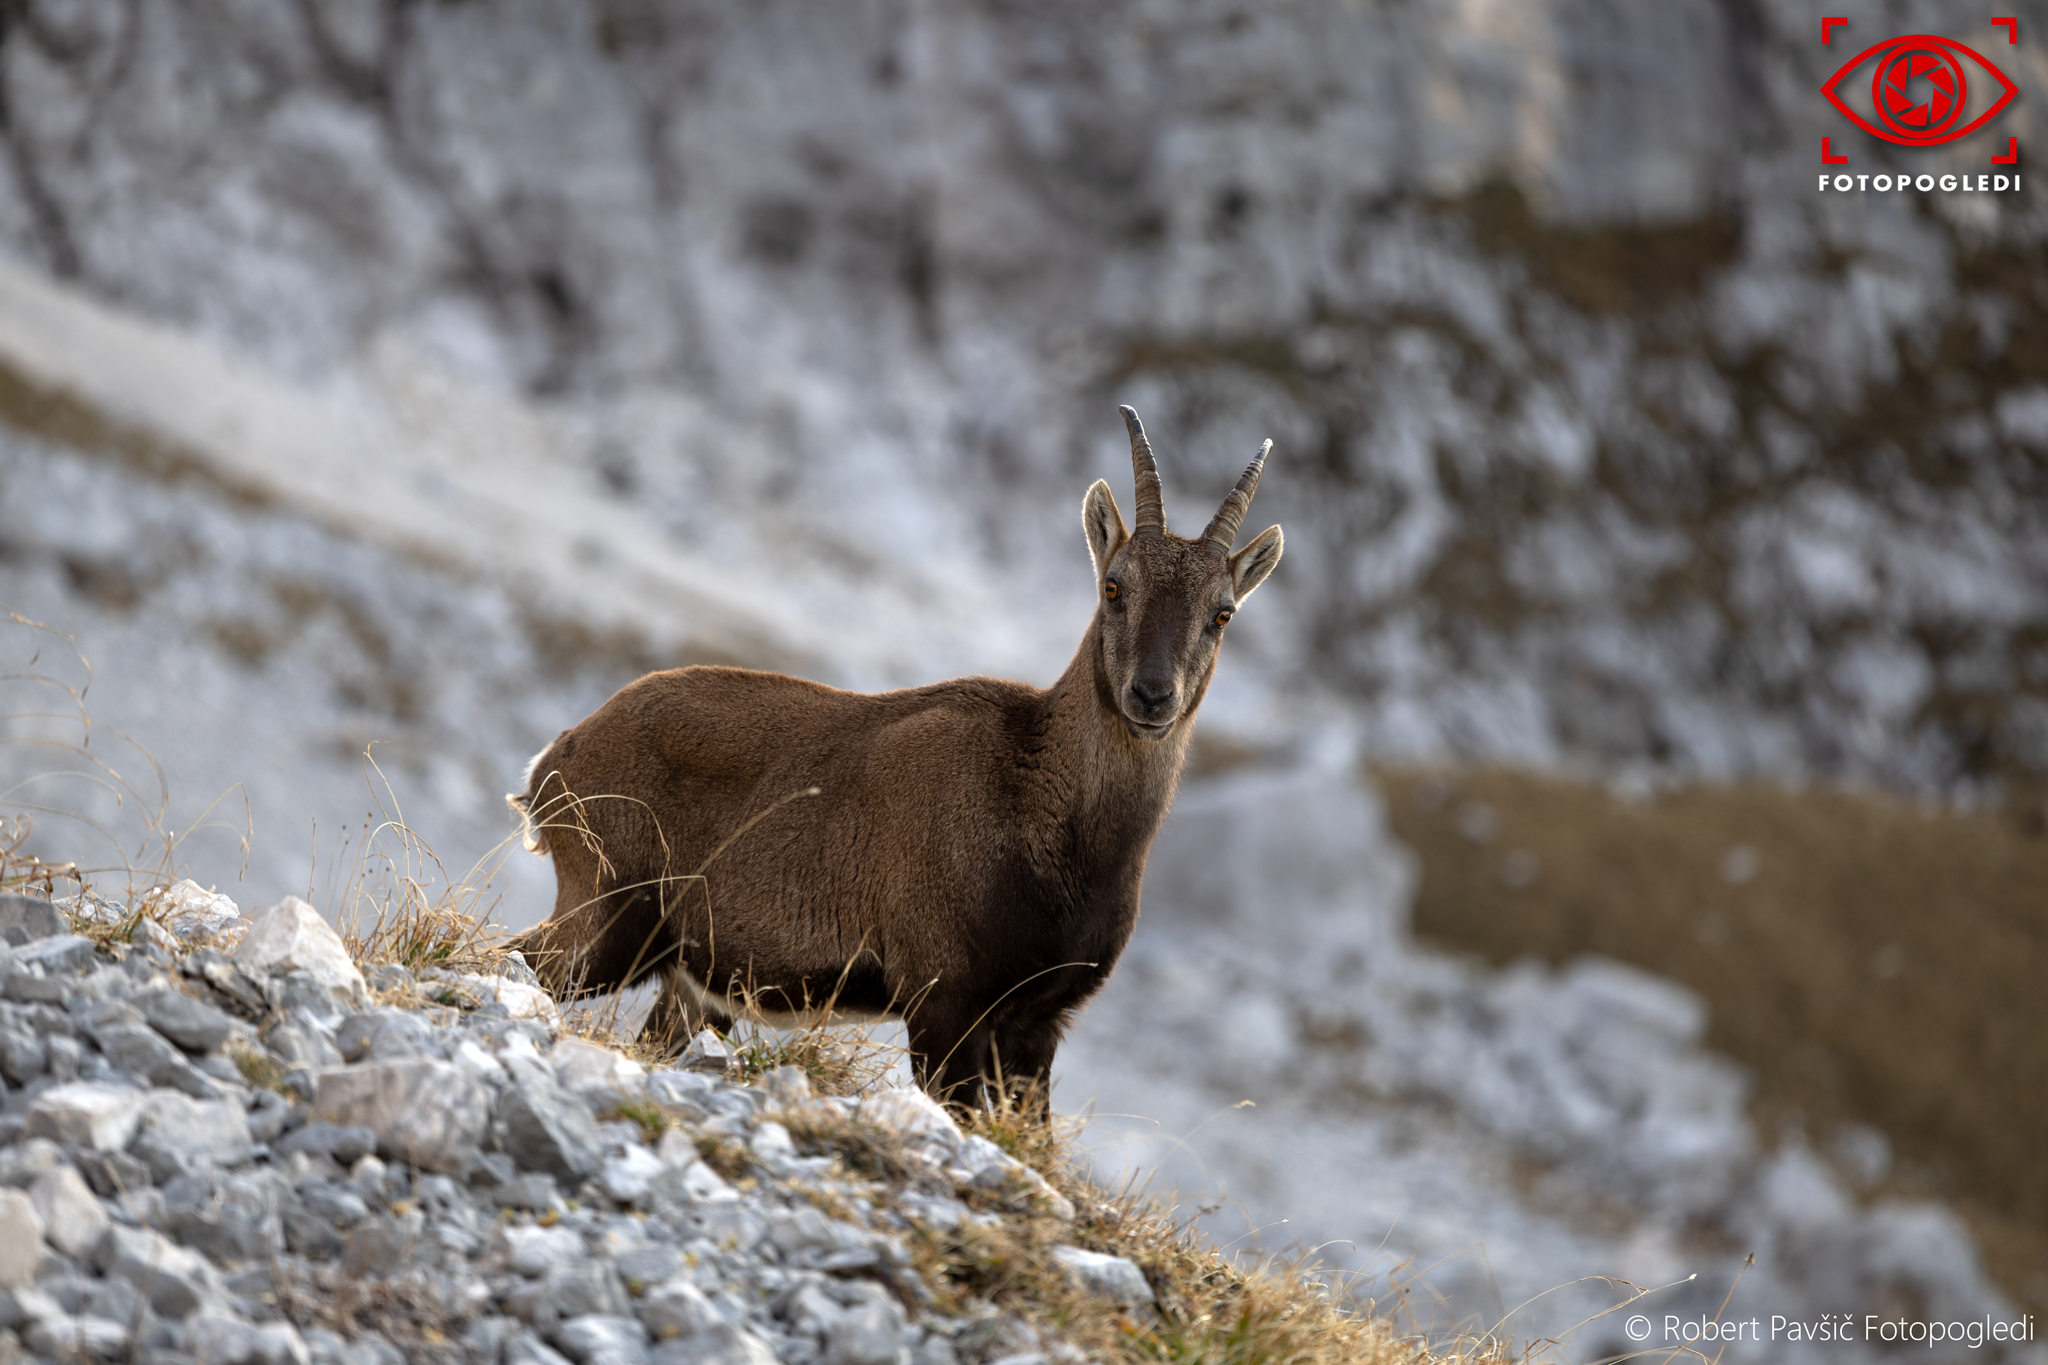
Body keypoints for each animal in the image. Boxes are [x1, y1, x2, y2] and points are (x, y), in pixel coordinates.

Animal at [507, 407, 1282, 1106]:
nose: (1151, 695)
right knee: (518, 956)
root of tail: (555, 760)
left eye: (1222, 613)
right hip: (609, 913)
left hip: (692, 983)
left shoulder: (1037, 1023)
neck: (1043, 804)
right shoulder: (943, 1001)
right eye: (1114, 586)